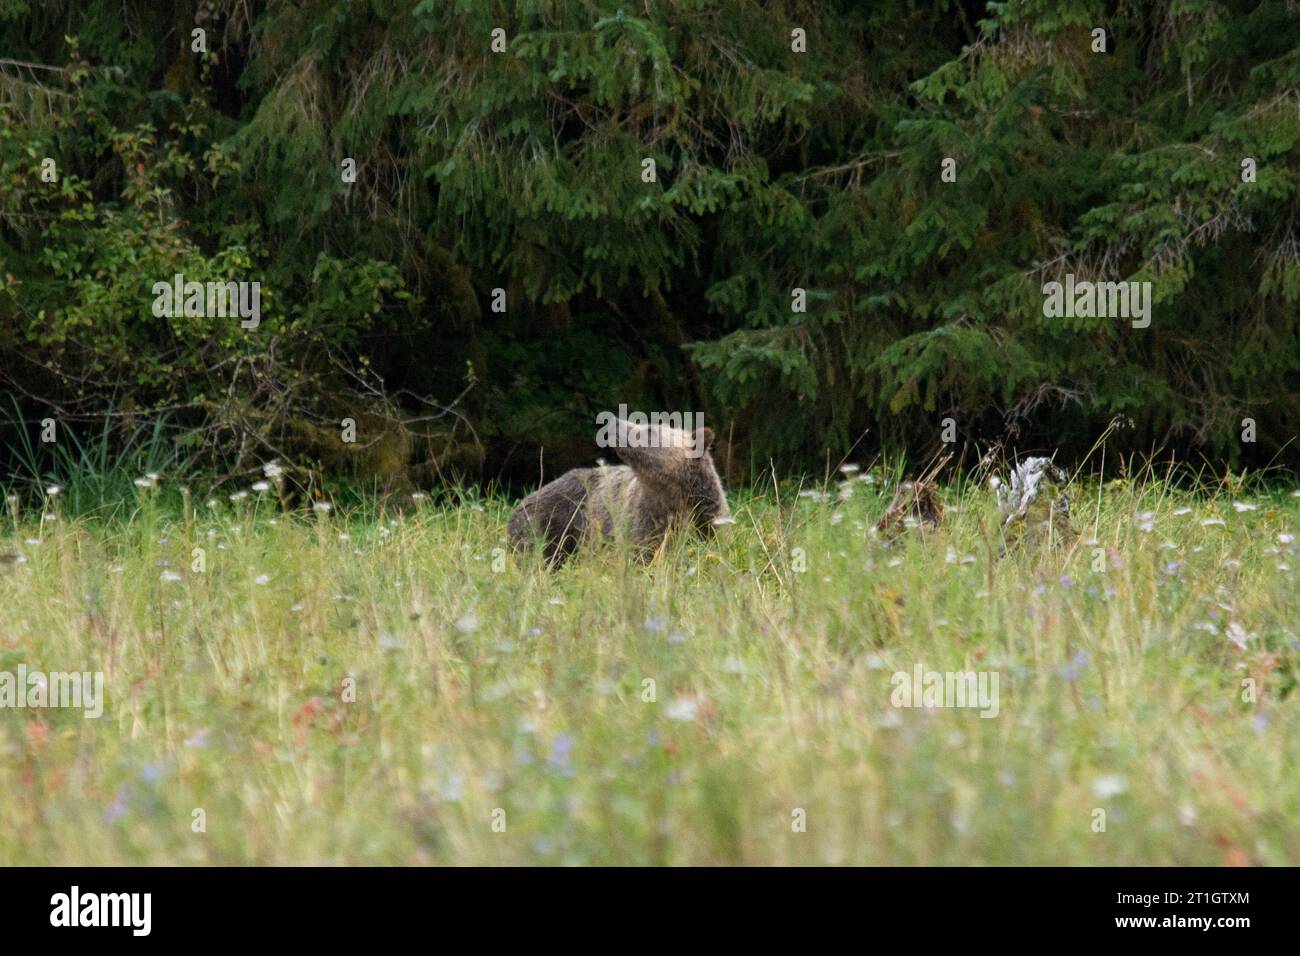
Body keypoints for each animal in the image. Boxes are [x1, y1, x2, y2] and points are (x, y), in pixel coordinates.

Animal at [506, 416, 733, 564]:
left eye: (650, 429)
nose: (614, 422)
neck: (669, 491)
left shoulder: (706, 512)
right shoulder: (642, 518)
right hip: (553, 519)